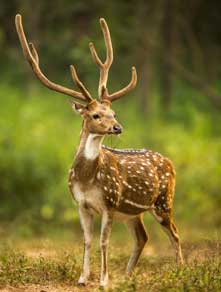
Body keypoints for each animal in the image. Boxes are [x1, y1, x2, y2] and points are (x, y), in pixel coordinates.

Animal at [15, 14, 184, 288]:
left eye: (113, 112)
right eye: (95, 115)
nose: (117, 127)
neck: (87, 180)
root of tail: (169, 161)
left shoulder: (109, 202)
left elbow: (104, 242)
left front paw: (103, 281)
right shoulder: (81, 205)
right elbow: (87, 241)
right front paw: (83, 278)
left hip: (163, 201)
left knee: (175, 233)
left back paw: (180, 271)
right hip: (132, 212)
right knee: (142, 237)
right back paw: (127, 276)